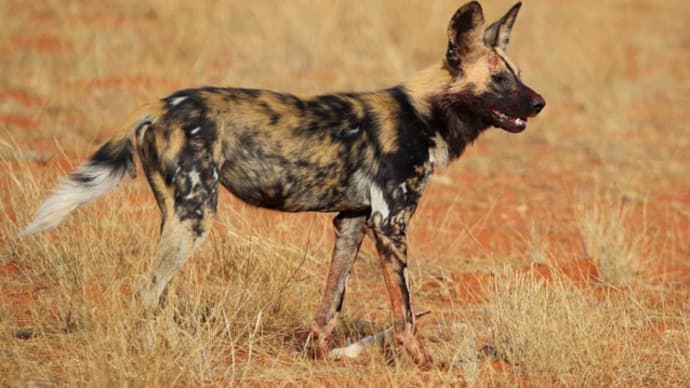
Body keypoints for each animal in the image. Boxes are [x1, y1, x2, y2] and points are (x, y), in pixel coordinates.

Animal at [20, 1, 544, 366]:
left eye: (517, 75)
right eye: (499, 80)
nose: (539, 102)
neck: (425, 113)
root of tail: (160, 104)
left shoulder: (353, 222)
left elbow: (330, 304)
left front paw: (319, 356)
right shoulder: (390, 224)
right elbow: (406, 316)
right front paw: (424, 362)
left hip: (178, 215)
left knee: (156, 291)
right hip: (196, 216)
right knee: (146, 291)